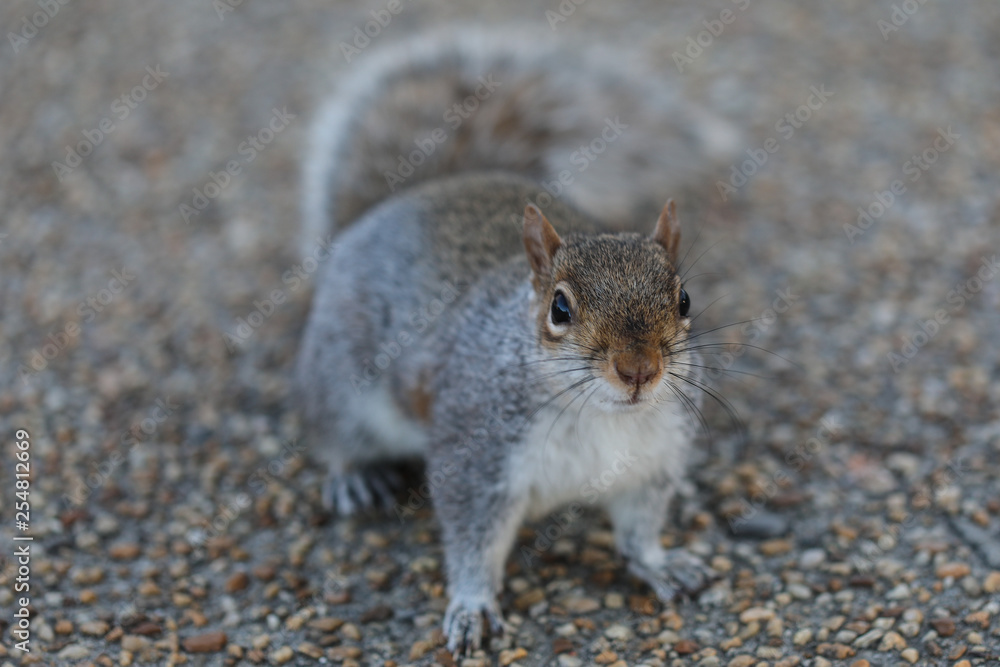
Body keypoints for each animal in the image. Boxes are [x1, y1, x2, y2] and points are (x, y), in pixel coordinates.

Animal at [294, 28, 740, 653]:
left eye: (684, 301)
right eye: (559, 308)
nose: (639, 370)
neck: (598, 415)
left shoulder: (651, 463)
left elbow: (640, 526)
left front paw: (659, 563)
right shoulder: (475, 456)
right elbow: (472, 540)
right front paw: (472, 605)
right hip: (339, 379)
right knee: (333, 432)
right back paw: (355, 476)